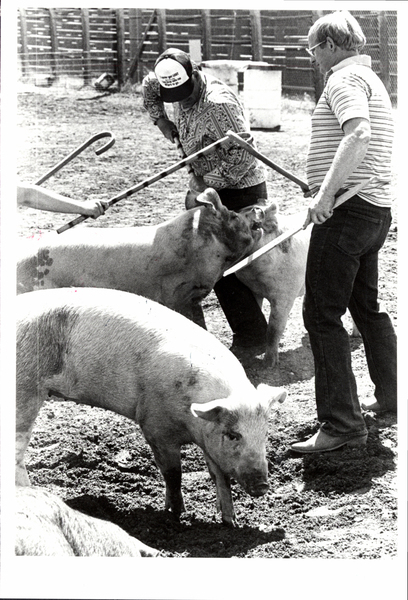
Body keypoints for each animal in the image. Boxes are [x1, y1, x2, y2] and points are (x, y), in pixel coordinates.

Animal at [16, 286, 286, 524]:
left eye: (265, 435)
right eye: (233, 435)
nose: (262, 485)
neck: (191, 425)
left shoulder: (208, 440)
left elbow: (220, 476)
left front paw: (231, 523)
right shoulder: (155, 427)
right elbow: (173, 474)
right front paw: (175, 515)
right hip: (24, 393)